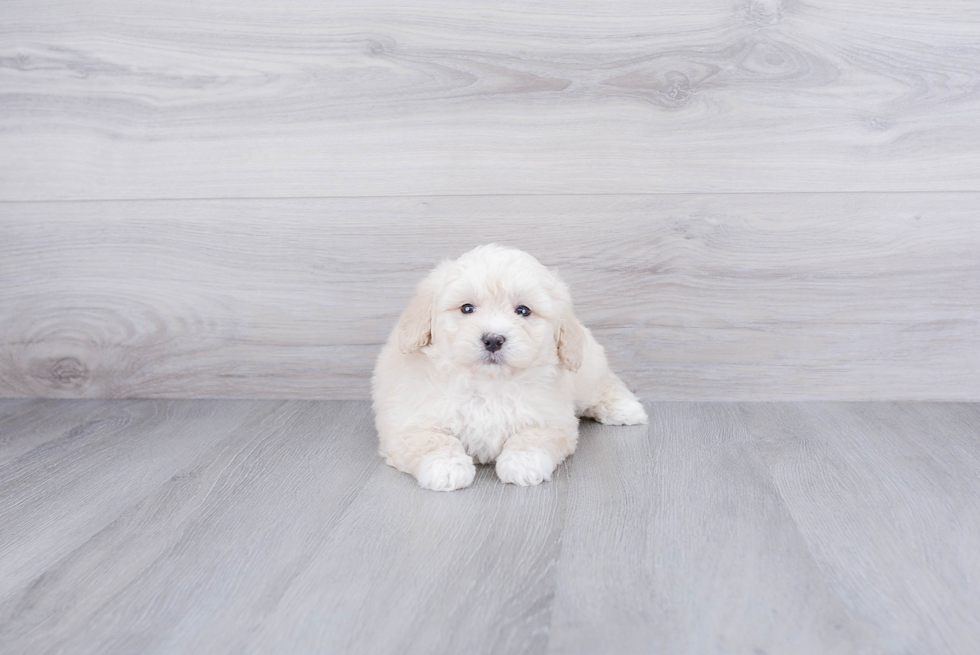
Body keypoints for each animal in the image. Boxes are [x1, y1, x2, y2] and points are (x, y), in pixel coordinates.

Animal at [372, 246, 648, 492]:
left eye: (523, 310)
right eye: (467, 308)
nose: (493, 339)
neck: (488, 384)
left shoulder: (551, 417)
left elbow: (533, 437)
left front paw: (523, 463)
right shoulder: (407, 422)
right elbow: (432, 440)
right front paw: (446, 468)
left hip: (585, 370)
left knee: (605, 383)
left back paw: (625, 408)